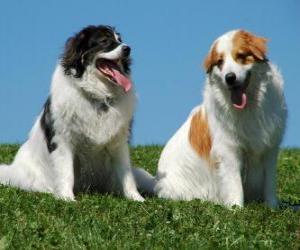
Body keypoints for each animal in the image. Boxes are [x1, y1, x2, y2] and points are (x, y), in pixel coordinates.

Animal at [135, 30, 288, 208]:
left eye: (241, 56)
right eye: (220, 62)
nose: (230, 77)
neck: (250, 106)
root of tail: (157, 182)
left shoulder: (270, 149)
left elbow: (270, 183)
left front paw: (272, 207)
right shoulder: (228, 150)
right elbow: (235, 184)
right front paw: (237, 209)